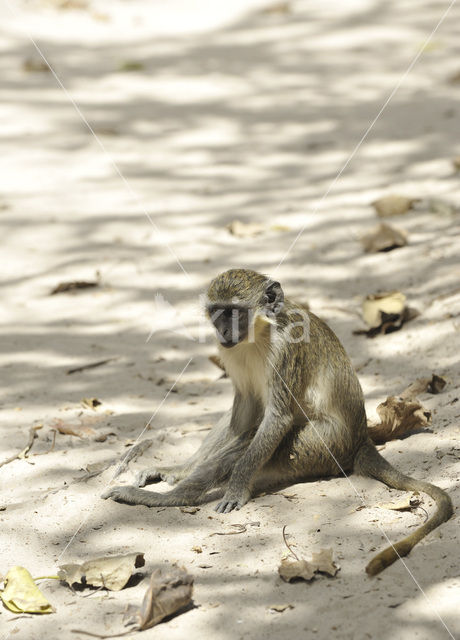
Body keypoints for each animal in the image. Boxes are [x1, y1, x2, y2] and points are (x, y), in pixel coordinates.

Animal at [102, 268, 452, 572]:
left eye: (235, 312)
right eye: (217, 312)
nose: (223, 331)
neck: (260, 331)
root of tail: (359, 439)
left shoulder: (288, 348)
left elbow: (276, 418)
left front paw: (236, 489)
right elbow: (243, 412)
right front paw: (178, 470)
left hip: (319, 446)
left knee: (254, 442)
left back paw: (167, 498)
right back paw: (176, 474)